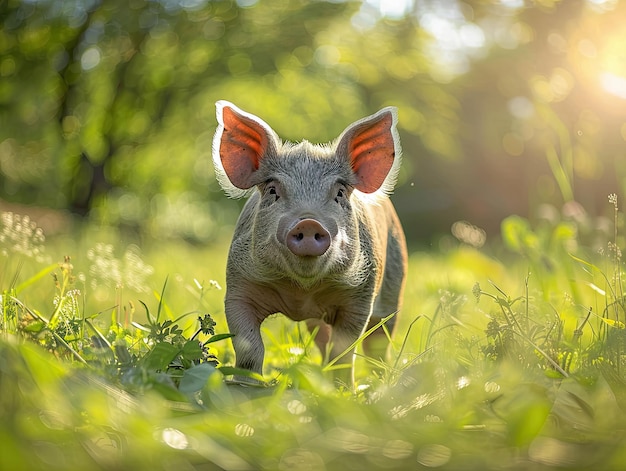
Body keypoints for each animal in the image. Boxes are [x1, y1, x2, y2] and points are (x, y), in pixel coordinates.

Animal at [211, 101, 404, 386]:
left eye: (339, 193)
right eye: (273, 190)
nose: (309, 223)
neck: (302, 293)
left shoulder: (360, 296)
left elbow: (344, 350)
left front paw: (343, 389)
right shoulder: (238, 287)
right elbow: (249, 346)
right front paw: (246, 384)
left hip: (394, 280)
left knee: (380, 340)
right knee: (323, 339)